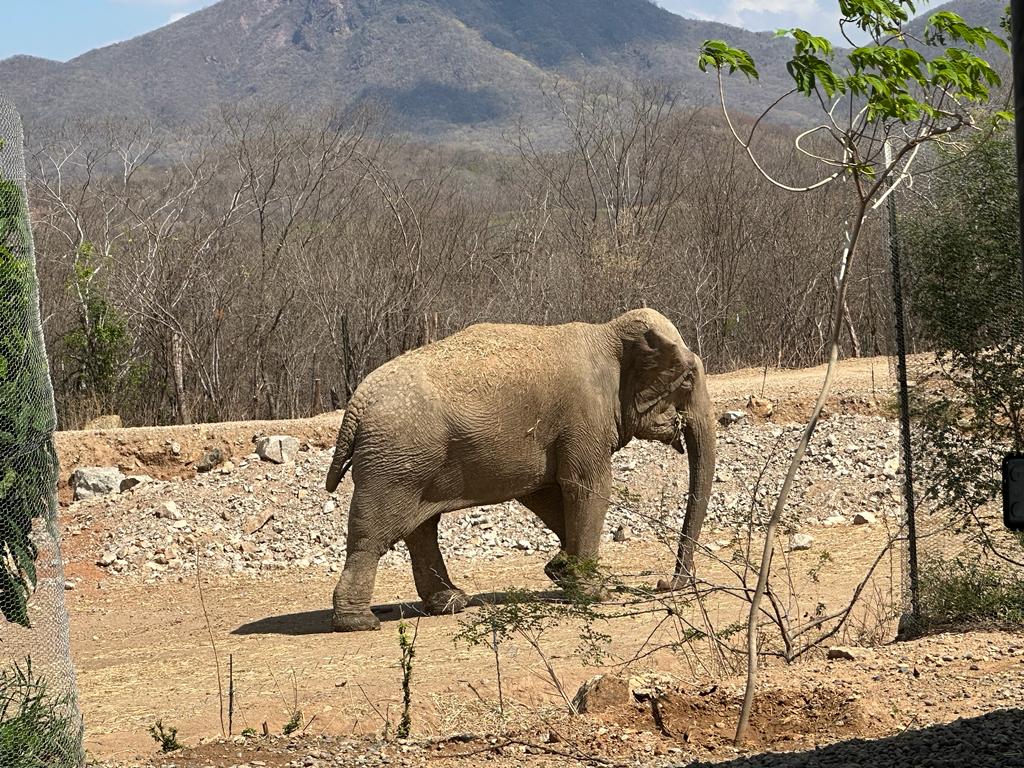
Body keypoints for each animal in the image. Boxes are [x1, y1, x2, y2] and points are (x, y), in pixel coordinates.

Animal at [324, 308, 716, 632]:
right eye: (687, 380)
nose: (664, 584)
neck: (607, 333)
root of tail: (356, 405)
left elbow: (545, 494)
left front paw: (560, 571)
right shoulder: (584, 415)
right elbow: (587, 486)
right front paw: (597, 593)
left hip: (411, 462)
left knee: (421, 529)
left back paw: (451, 603)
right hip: (395, 463)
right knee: (374, 535)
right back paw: (359, 622)